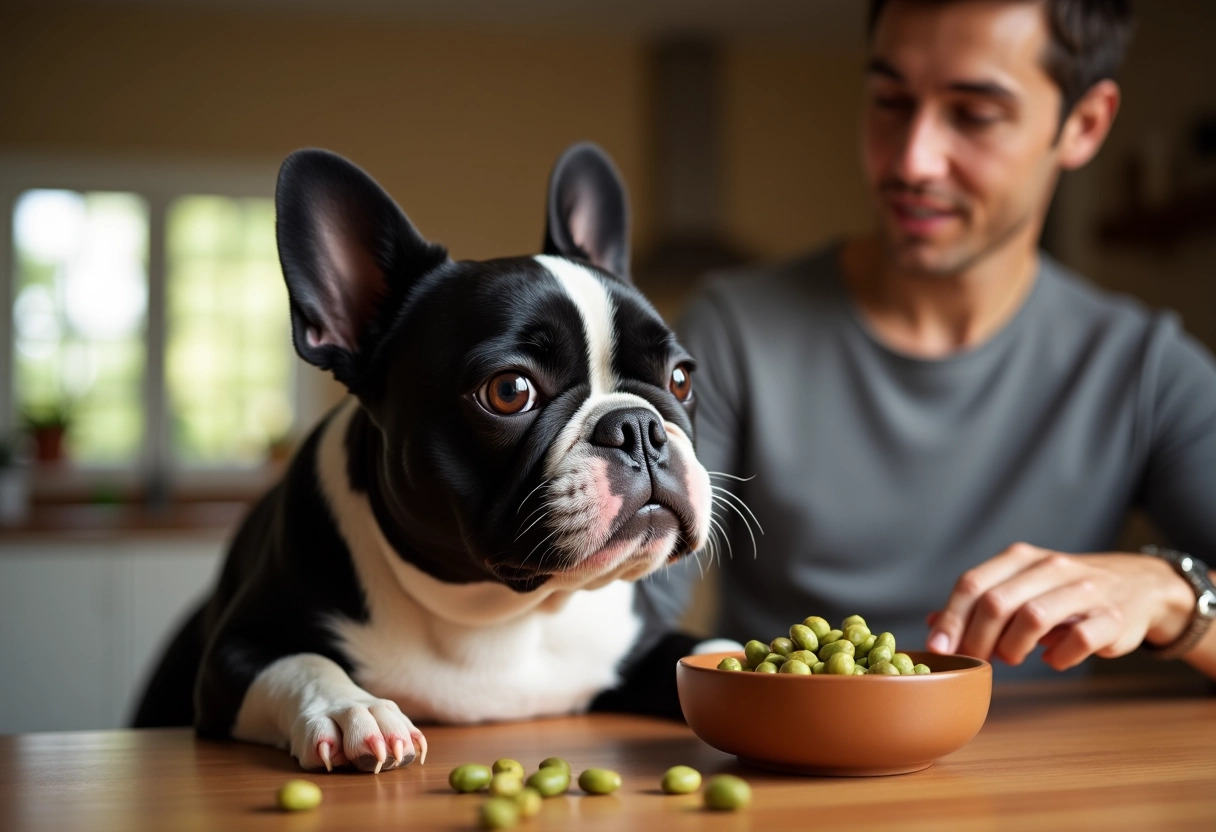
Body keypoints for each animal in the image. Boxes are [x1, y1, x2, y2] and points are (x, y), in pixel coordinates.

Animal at [133, 141, 719, 773]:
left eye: (681, 378)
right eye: (509, 391)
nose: (637, 426)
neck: (499, 612)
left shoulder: (644, 643)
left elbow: (707, 650)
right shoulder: (231, 657)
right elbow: (303, 662)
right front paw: (351, 708)